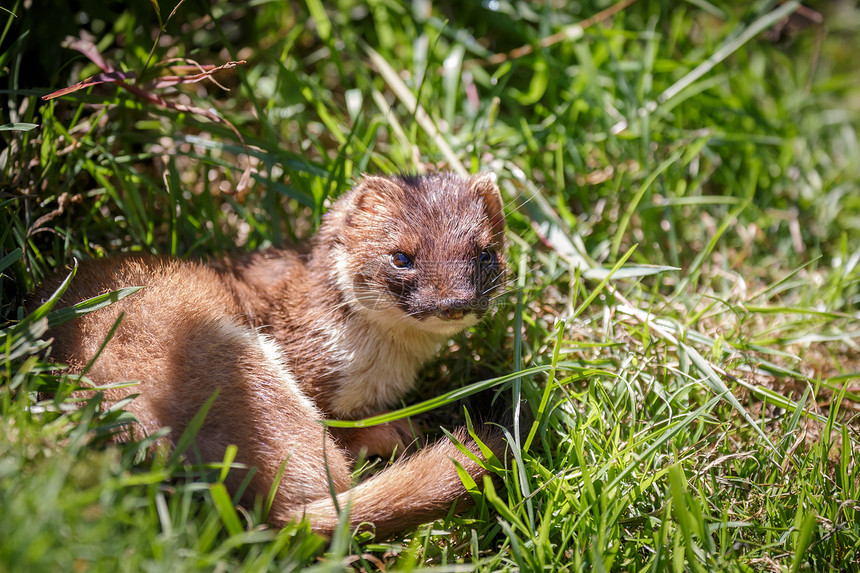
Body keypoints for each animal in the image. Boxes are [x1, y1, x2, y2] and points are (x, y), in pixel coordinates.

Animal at [33, 170, 508, 536]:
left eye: (486, 254)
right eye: (401, 256)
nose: (453, 302)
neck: (383, 367)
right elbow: (343, 430)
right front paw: (389, 430)